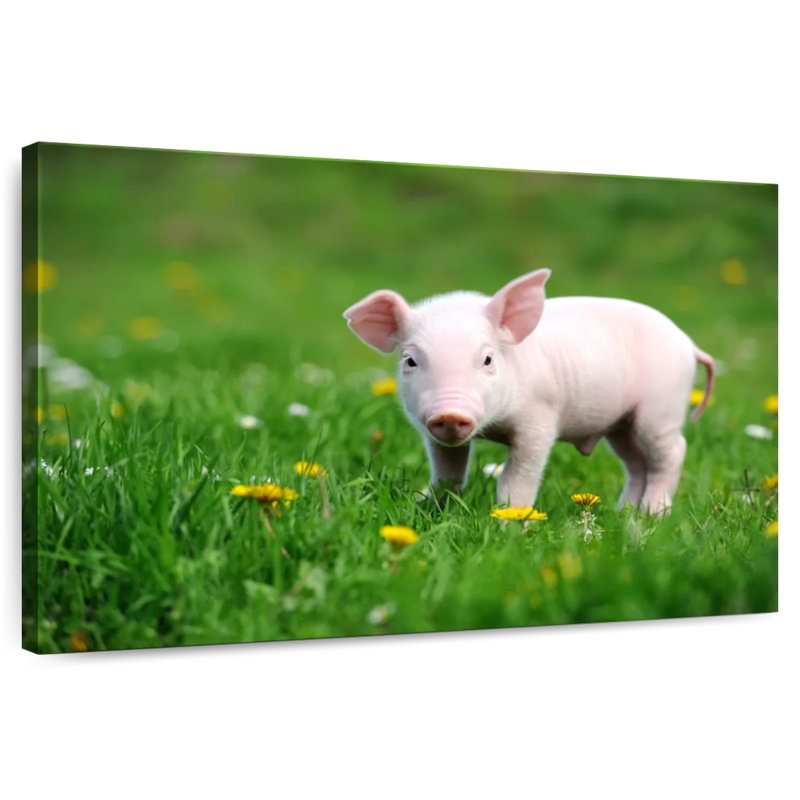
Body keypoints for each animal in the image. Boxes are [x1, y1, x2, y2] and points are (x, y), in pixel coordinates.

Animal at [343, 270, 714, 514]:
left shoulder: (540, 420)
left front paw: (509, 524)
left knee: (672, 452)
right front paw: (431, 507)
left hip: (661, 407)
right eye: (410, 360)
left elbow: (516, 479)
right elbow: (448, 473)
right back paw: (624, 514)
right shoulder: (435, 436)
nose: (450, 412)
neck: (494, 427)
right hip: (621, 425)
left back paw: (652, 515)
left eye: (488, 359)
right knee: (637, 464)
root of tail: (689, 343)